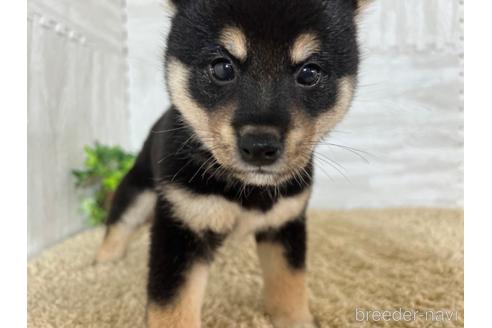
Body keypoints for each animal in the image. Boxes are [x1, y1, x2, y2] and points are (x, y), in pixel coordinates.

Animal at [96, 0, 368, 326]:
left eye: (309, 73)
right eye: (222, 68)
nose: (260, 147)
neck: (247, 189)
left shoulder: (285, 224)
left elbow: (290, 287)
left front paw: (296, 319)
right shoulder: (182, 227)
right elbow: (173, 308)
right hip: (139, 190)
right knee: (119, 225)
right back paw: (103, 264)